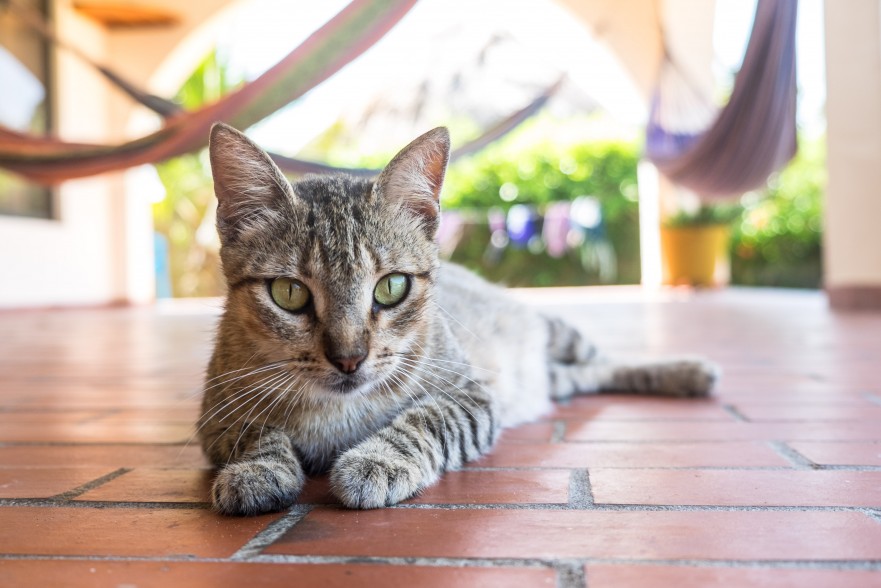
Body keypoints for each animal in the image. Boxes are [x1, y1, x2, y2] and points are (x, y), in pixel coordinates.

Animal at [198, 123, 716, 516]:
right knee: (583, 376)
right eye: (289, 293)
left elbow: (424, 421)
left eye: (391, 287)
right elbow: (254, 431)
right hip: (554, 377)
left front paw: (376, 461)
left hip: (554, 333)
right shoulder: (214, 413)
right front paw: (257, 468)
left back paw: (688, 373)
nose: (349, 358)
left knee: (606, 361)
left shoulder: (472, 397)